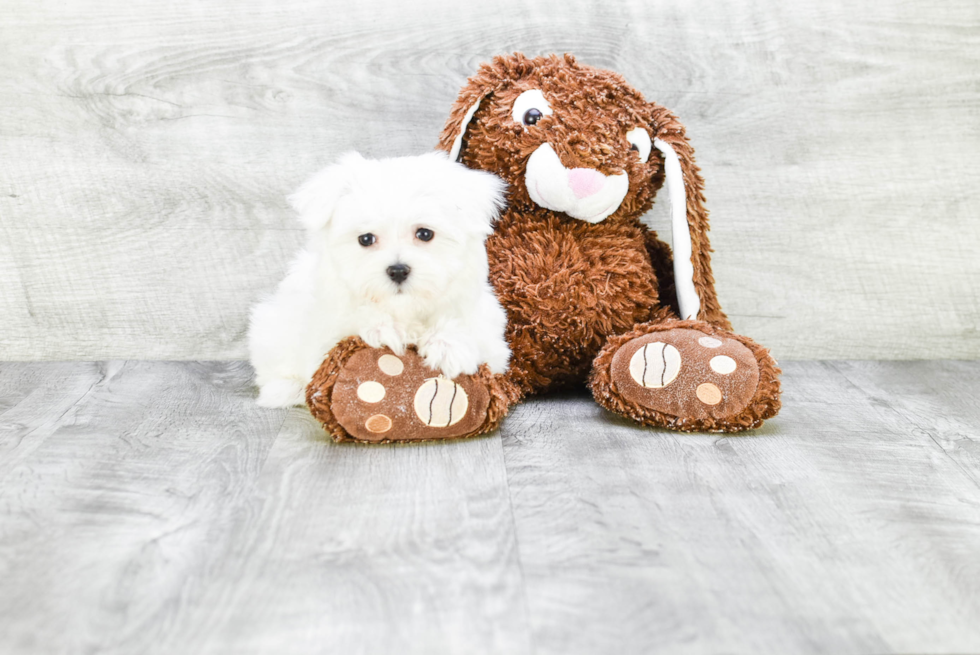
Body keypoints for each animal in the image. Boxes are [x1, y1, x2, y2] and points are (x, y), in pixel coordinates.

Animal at [247, 154, 512, 410]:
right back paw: (285, 389)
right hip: (271, 326)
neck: (405, 309)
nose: (398, 270)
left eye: (425, 234)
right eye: (365, 239)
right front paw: (382, 329)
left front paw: (448, 345)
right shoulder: (324, 334)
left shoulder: (492, 340)